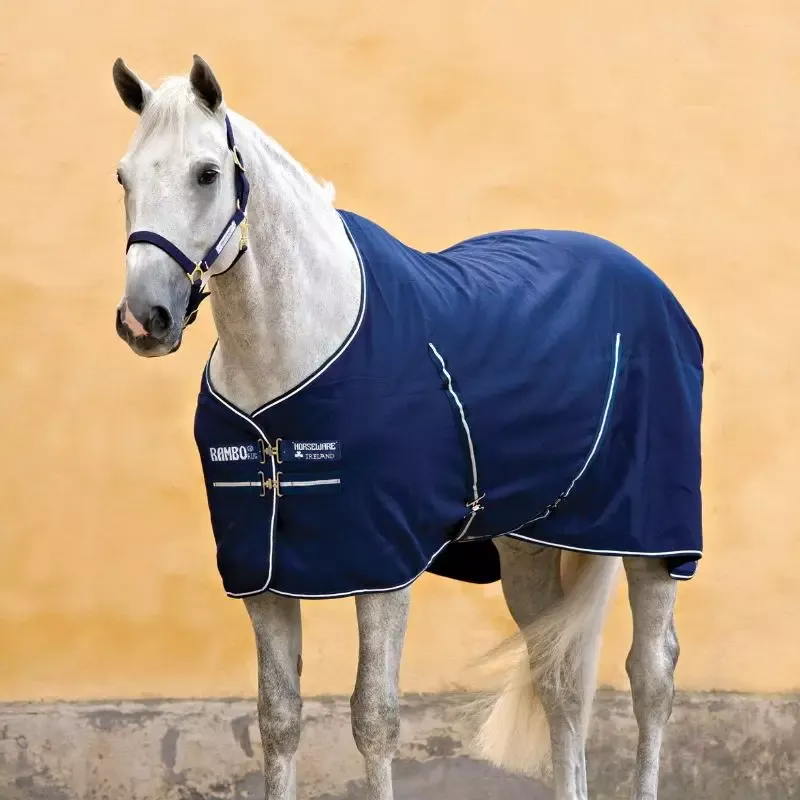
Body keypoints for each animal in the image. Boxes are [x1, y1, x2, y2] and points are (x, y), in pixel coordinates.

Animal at [111, 54, 703, 800]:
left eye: (207, 173)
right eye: (124, 176)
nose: (144, 319)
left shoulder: (382, 564)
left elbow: (375, 717)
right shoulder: (260, 572)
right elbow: (277, 719)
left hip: (653, 536)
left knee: (652, 676)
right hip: (530, 545)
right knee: (560, 680)